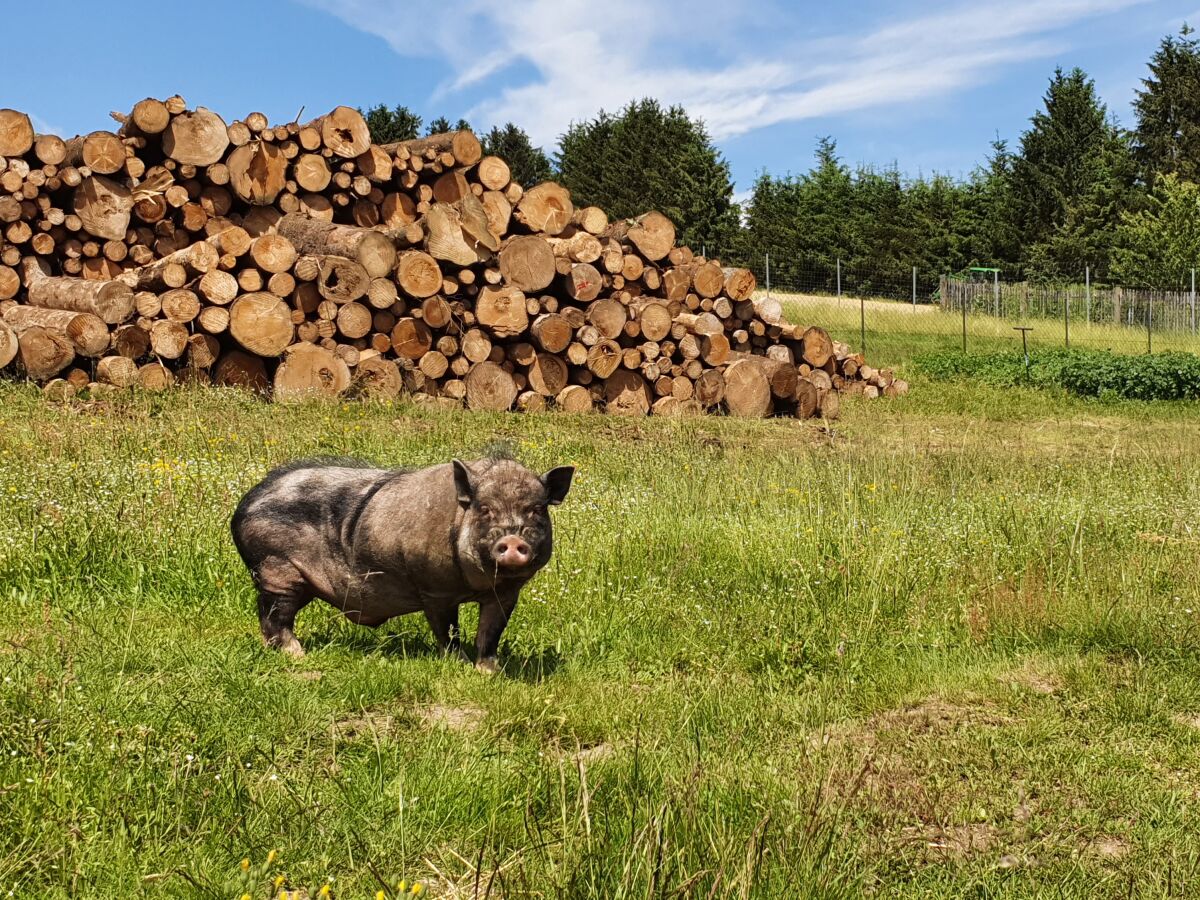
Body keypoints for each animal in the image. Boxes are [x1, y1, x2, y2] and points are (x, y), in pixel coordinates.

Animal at [232, 453, 576, 672]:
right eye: (485, 509)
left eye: (536, 509)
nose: (514, 541)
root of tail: (245, 503)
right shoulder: (435, 589)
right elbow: (448, 631)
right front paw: (461, 665)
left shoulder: (505, 594)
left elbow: (491, 632)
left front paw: (490, 671)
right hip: (276, 569)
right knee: (272, 613)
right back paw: (298, 655)